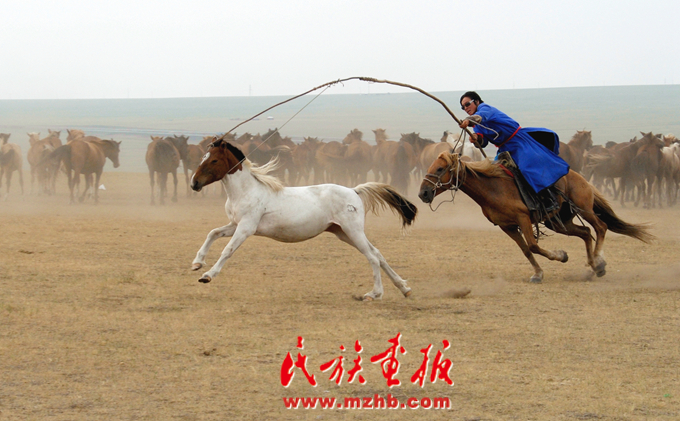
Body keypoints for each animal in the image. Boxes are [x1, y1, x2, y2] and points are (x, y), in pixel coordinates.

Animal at [189, 138, 418, 300]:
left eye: (214, 160)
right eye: (202, 157)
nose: (194, 183)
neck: (246, 191)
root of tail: (355, 190)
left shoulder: (245, 228)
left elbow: (227, 250)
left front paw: (207, 275)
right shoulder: (235, 224)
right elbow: (213, 233)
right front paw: (197, 263)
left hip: (353, 232)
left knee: (372, 257)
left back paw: (374, 294)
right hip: (344, 233)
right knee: (377, 254)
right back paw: (404, 288)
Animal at [418, 152, 654, 283]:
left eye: (440, 169)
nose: (423, 193)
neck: (493, 188)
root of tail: (581, 177)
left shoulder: (523, 218)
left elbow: (533, 245)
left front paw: (561, 255)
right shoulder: (507, 226)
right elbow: (526, 250)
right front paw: (538, 273)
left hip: (584, 208)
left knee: (601, 227)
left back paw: (598, 262)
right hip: (559, 221)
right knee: (586, 233)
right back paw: (593, 266)